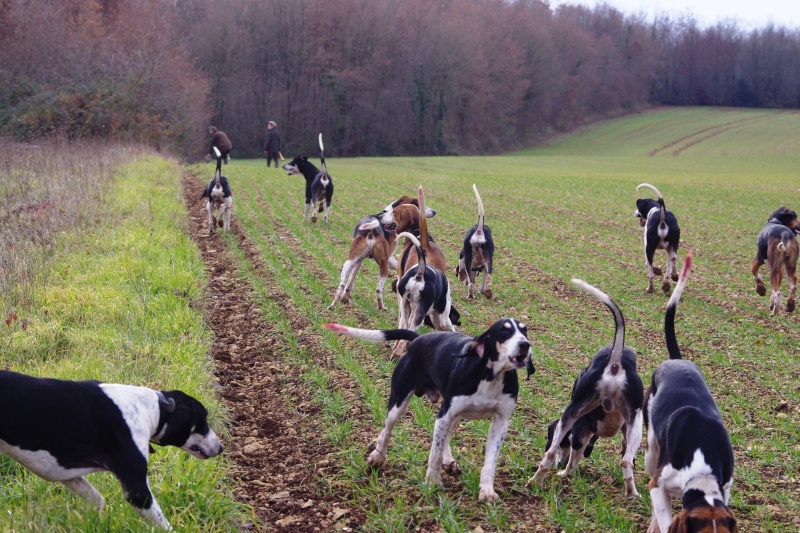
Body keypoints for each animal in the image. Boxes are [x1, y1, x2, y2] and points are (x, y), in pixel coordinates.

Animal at [0, 370, 223, 528]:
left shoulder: (68, 474)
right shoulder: (137, 491)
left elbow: (97, 501)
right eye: (203, 421)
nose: (221, 448)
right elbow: (163, 525)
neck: (153, 409)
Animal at [322, 320, 536, 502]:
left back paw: (449, 460)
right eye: (504, 331)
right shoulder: (445, 415)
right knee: (387, 430)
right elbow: (435, 453)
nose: (525, 345)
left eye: (525, 330)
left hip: (451, 413)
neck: (491, 375)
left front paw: (487, 491)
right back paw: (377, 457)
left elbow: (490, 462)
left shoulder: (500, 422)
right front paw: (432, 482)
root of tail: (418, 339)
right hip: (399, 402)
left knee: (446, 435)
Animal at [532, 278, 644, 494]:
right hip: (636, 425)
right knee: (626, 461)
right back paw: (632, 494)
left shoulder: (579, 430)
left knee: (550, 454)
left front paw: (567, 471)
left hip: (570, 416)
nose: (560, 464)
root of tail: (615, 363)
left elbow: (572, 458)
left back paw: (543, 479)